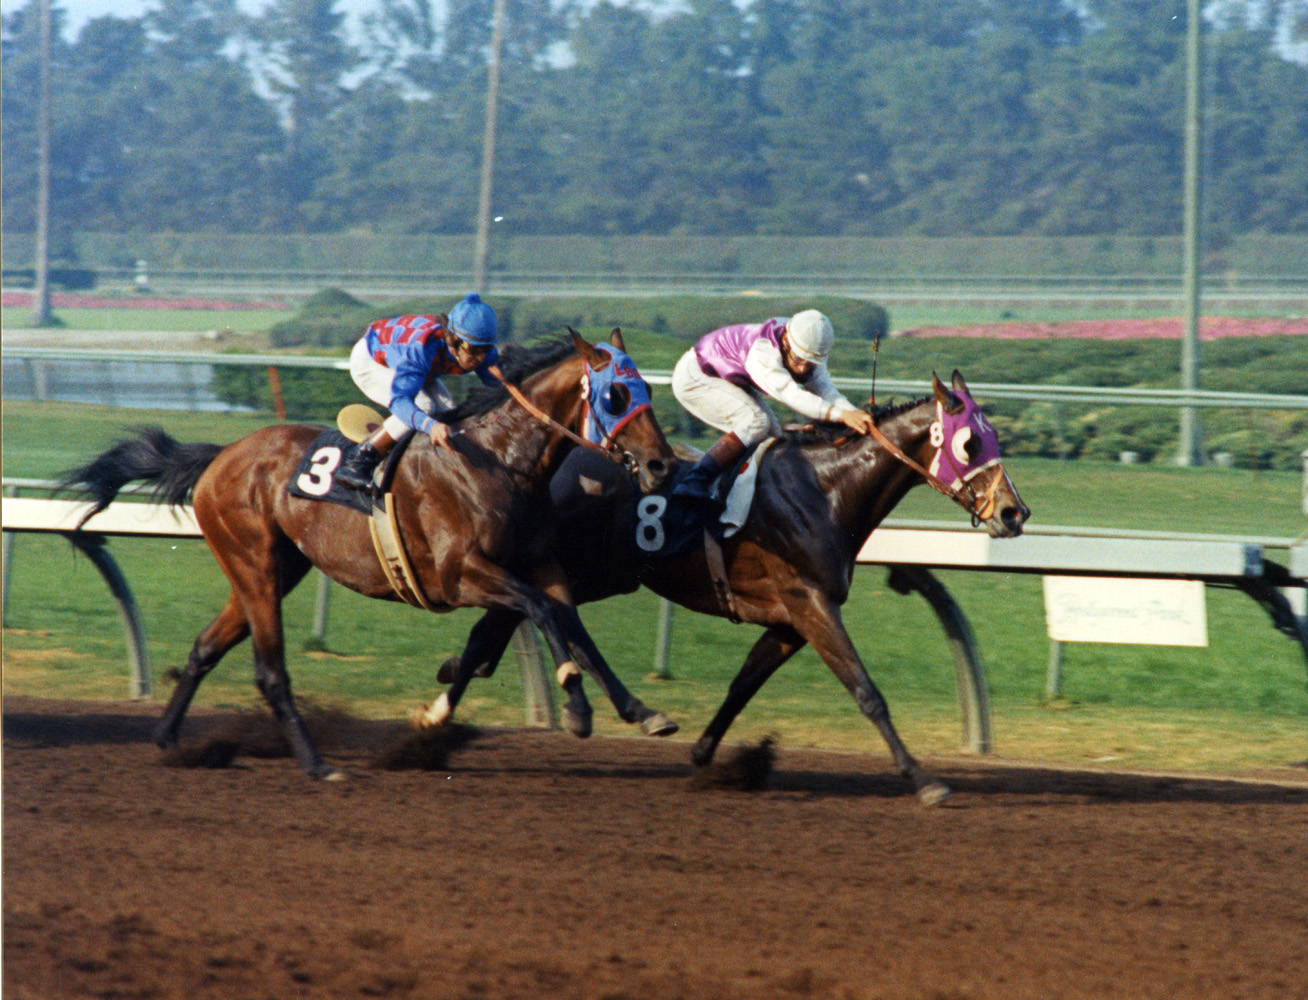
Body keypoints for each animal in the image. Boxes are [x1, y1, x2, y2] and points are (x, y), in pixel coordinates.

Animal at [58, 332, 674, 773]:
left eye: (647, 389)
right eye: (617, 394)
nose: (662, 464)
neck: (498, 461)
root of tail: (222, 455)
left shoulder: (541, 564)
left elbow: (575, 628)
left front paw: (642, 712)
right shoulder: (460, 575)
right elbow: (542, 613)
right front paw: (577, 711)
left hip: (274, 568)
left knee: (206, 647)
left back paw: (168, 738)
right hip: (254, 565)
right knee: (270, 671)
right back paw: (315, 763)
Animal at [423, 373, 1025, 805]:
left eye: (995, 437)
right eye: (970, 443)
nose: (1014, 513)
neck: (825, 489)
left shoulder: (789, 621)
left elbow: (743, 684)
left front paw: (705, 753)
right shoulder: (811, 604)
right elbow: (867, 691)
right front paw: (924, 779)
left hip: (586, 572)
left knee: (501, 624)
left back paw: (445, 698)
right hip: (582, 569)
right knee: (517, 618)